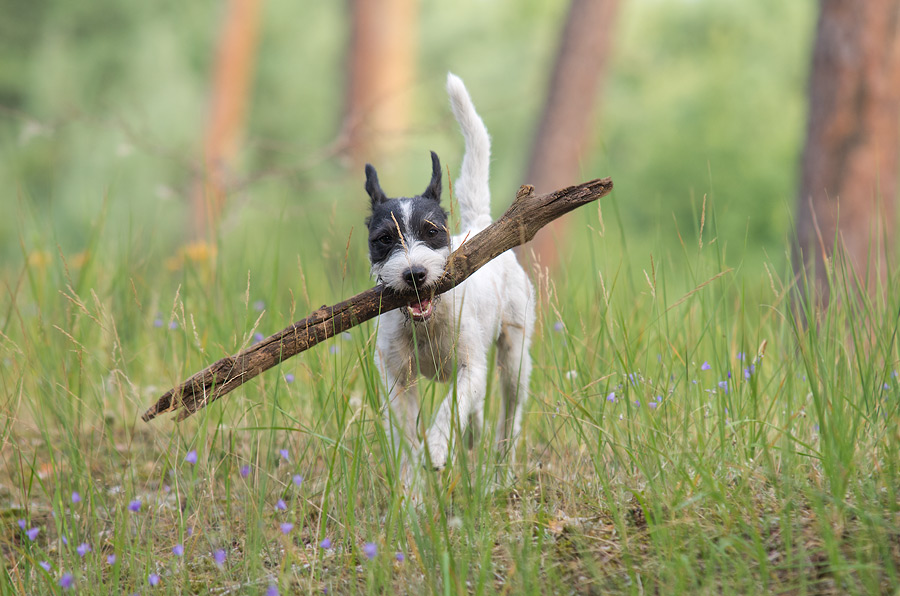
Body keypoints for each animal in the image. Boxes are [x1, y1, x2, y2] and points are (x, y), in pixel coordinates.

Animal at [364, 73, 536, 484]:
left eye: (432, 231)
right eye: (384, 239)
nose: (414, 273)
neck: (426, 325)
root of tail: (481, 225)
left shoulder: (470, 368)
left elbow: (451, 405)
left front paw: (440, 448)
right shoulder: (397, 380)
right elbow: (407, 438)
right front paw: (410, 486)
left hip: (515, 359)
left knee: (508, 419)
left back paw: (500, 473)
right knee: (476, 416)